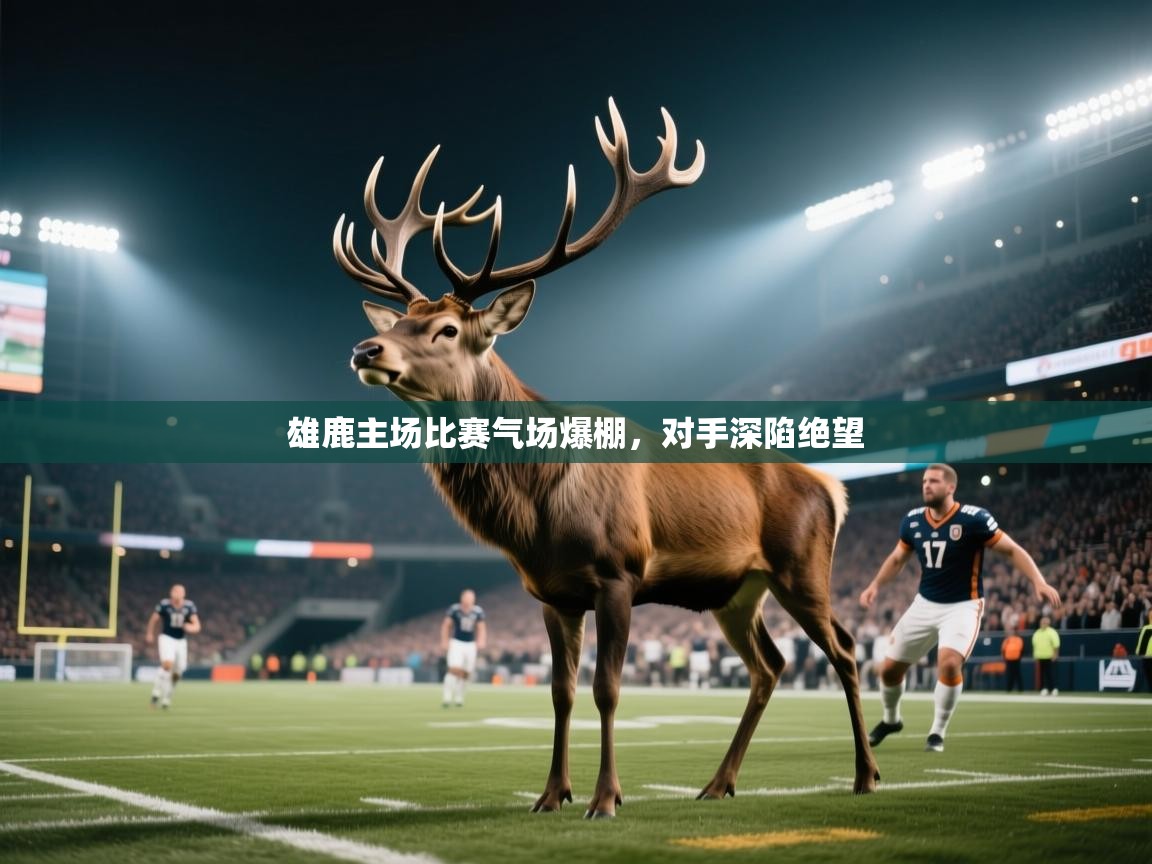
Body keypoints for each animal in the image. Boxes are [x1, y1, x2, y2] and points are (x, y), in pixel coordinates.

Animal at [334, 99, 880, 818]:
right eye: (399, 321)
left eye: (447, 329)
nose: (367, 349)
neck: (536, 510)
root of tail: (833, 489)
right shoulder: (551, 592)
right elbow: (561, 693)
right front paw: (551, 794)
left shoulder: (620, 571)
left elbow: (607, 688)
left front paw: (605, 798)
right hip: (738, 591)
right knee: (770, 666)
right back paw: (718, 782)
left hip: (802, 566)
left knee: (844, 649)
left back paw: (866, 774)